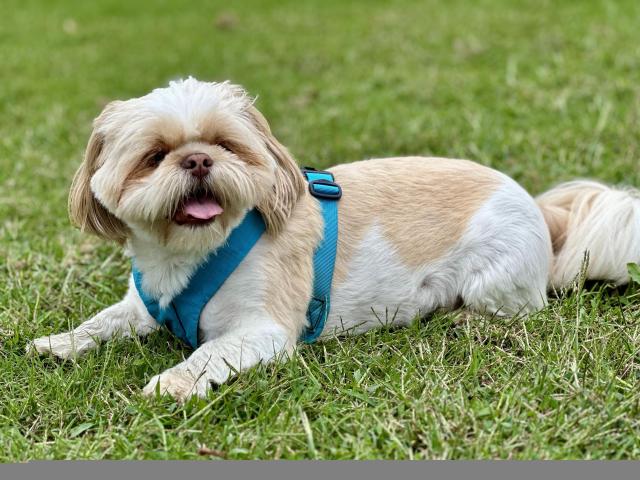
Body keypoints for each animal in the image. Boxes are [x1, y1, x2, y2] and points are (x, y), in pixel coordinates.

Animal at [27, 78, 640, 402]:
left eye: (226, 145)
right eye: (154, 157)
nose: (198, 159)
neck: (191, 255)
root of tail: (538, 208)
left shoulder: (263, 330)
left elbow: (207, 353)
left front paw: (173, 382)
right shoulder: (143, 305)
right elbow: (104, 321)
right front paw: (60, 343)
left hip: (496, 278)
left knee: (520, 308)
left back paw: (463, 318)